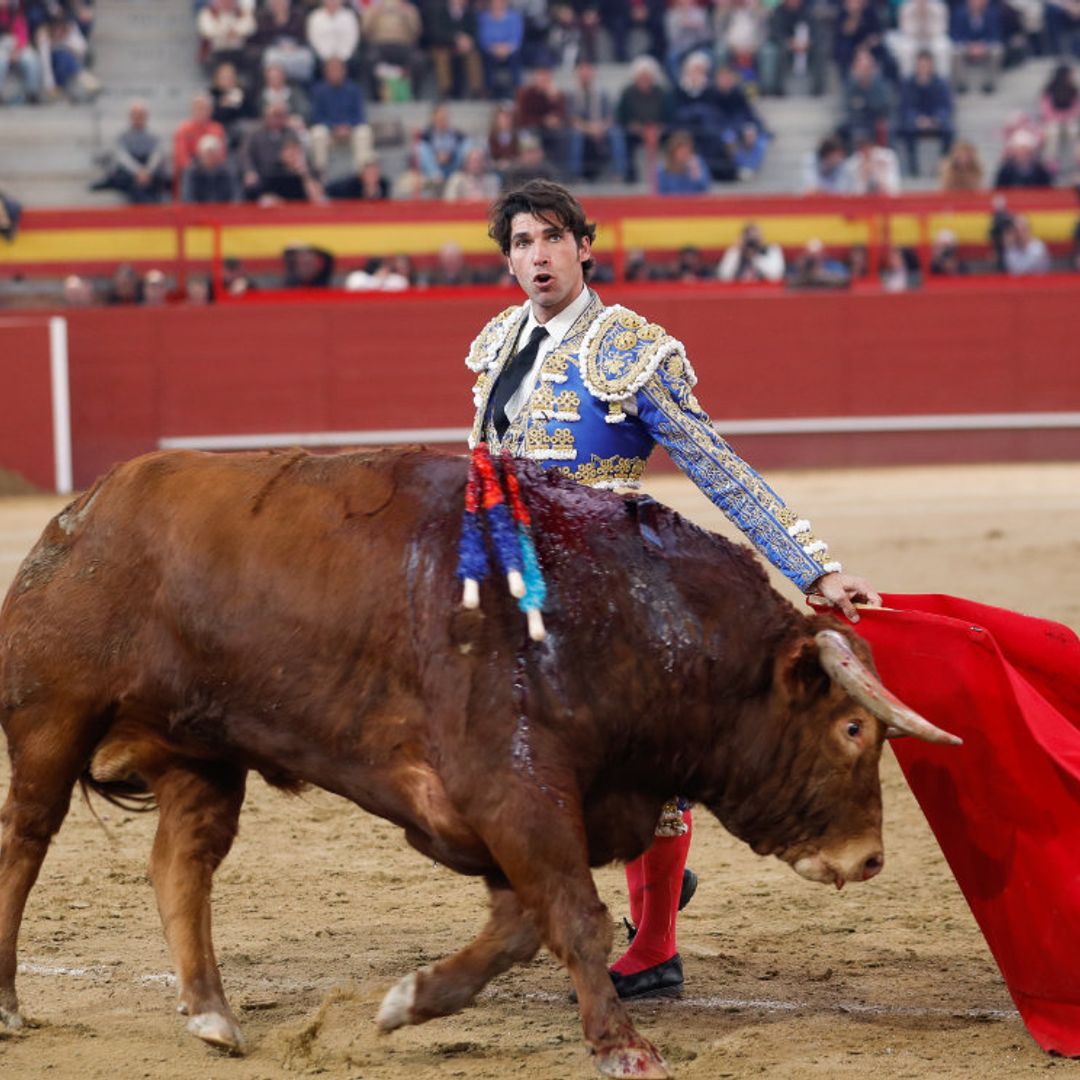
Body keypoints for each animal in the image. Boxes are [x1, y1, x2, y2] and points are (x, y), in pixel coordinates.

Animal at [0, 447, 963, 1080]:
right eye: (852, 728)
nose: (867, 859)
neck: (621, 617)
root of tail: (79, 512)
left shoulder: (515, 814)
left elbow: (523, 927)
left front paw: (407, 1003)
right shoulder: (516, 791)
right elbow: (575, 917)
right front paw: (624, 1048)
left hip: (204, 752)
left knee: (182, 864)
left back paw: (210, 1014)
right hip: (54, 719)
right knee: (25, 844)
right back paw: (11, 1004)